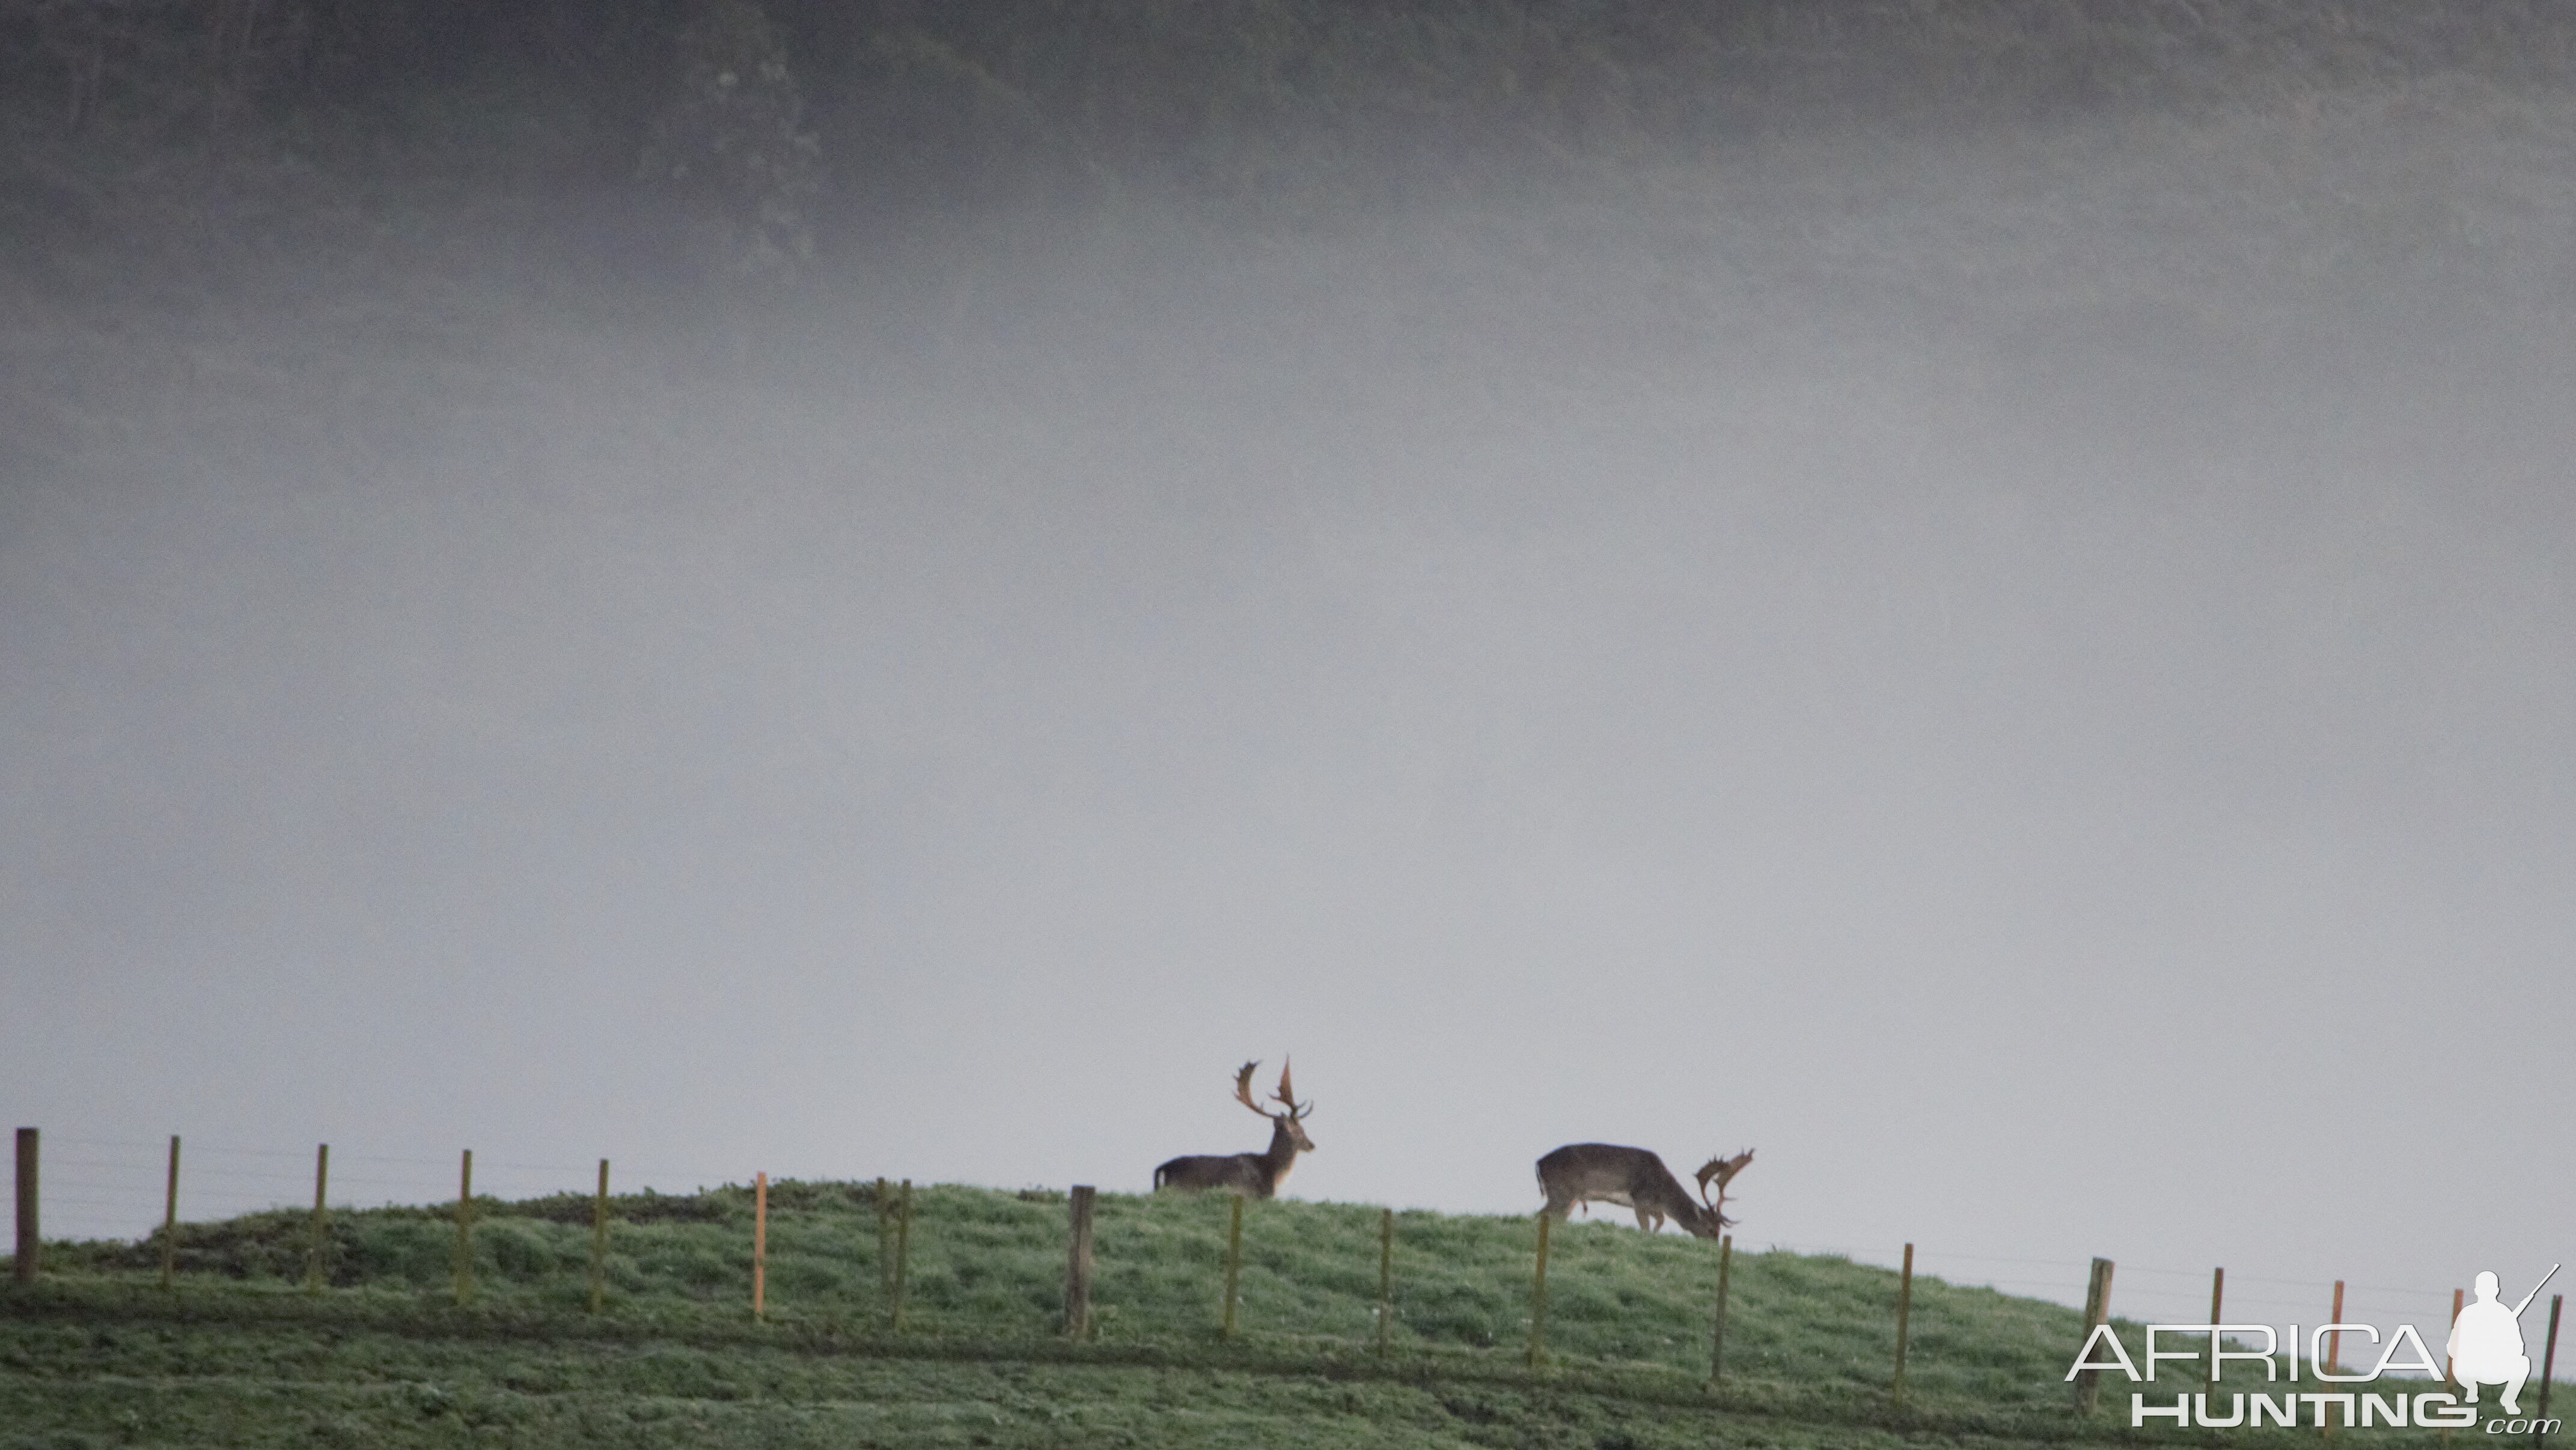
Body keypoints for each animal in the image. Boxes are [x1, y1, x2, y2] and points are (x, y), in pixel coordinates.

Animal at [1525, 1148, 1751, 1236]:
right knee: (1539, 1215)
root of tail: (1539, 1163)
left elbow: (1660, 1221)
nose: (1713, 1246)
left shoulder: (1652, 1206)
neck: (1663, 1193)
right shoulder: (1640, 1199)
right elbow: (1646, 1226)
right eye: (1712, 1229)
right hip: (1561, 1192)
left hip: (1570, 1199)